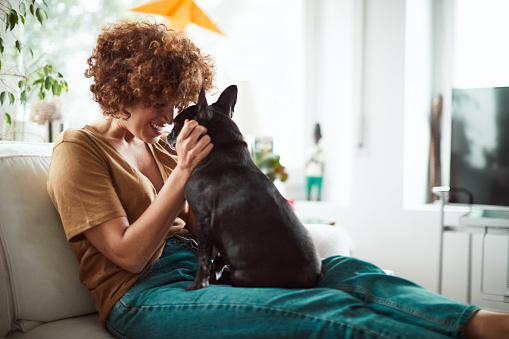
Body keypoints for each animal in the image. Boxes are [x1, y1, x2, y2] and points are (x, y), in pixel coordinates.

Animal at [169, 85, 324, 292]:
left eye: (177, 123)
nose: (169, 134)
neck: (222, 148)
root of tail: (312, 280)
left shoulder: (202, 218)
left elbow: (204, 256)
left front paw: (198, 283)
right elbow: (218, 258)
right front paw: (213, 277)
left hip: (243, 275)